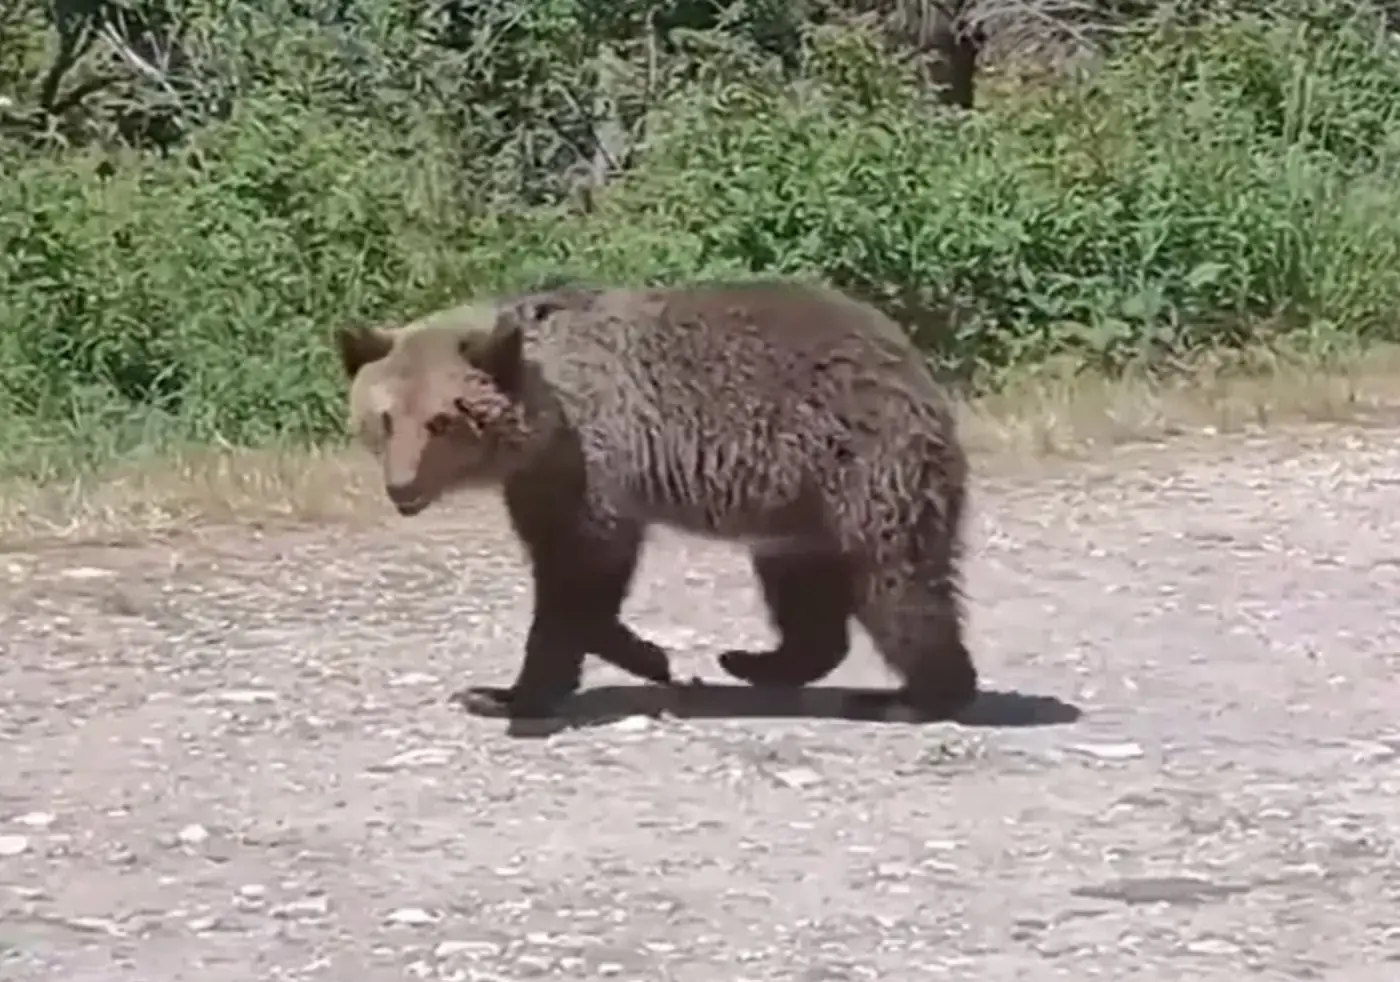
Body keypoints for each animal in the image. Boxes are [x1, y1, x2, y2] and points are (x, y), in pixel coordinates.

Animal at [334, 278, 977, 723]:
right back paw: (754, 661)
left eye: (443, 420)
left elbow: (578, 578)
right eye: (384, 418)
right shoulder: (540, 482)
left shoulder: (590, 467)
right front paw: (637, 656)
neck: (546, 421)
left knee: (897, 581)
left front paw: (511, 693)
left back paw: (913, 697)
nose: (402, 486)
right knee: (802, 588)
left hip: (860, 462)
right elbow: (568, 573)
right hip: (796, 504)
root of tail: (908, 358)